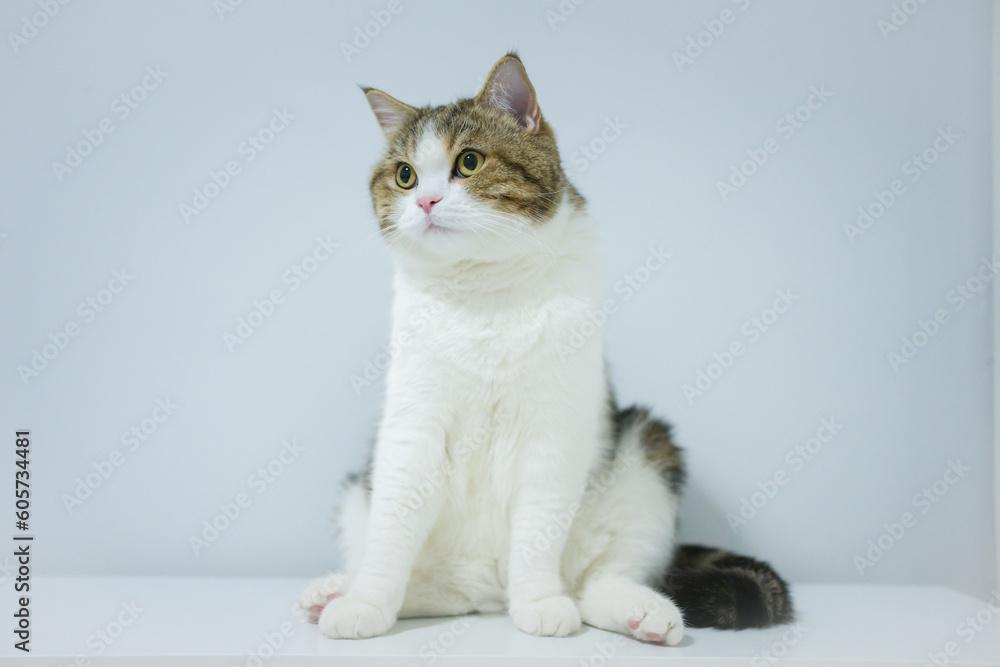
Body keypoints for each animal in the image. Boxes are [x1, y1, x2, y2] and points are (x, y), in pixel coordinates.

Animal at [300, 52, 792, 648]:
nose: (425, 200)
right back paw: (337, 590)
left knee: (597, 582)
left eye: (468, 162)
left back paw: (641, 612)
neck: (484, 291)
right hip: (360, 494)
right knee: (436, 585)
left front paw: (538, 602)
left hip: (648, 457)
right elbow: (391, 532)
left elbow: (538, 528)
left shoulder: (553, 431)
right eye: (405, 175)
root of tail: (489, 586)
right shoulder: (410, 429)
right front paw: (366, 602)